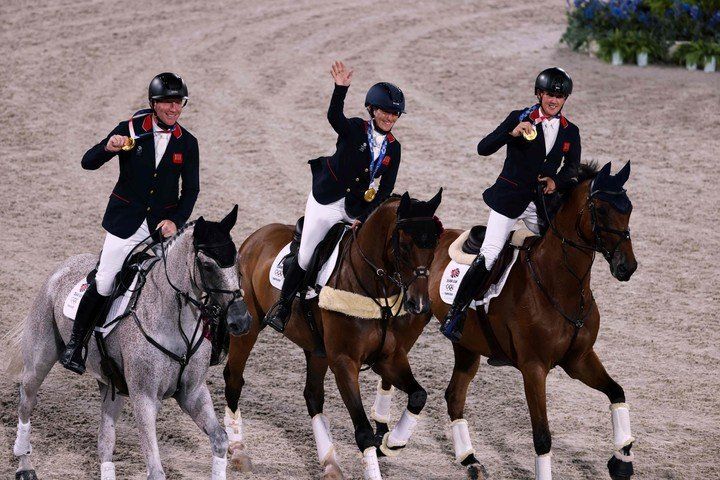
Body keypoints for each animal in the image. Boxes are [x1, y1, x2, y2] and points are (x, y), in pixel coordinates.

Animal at [9, 207, 253, 480]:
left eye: (237, 264)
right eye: (208, 266)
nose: (241, 321)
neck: (175, 323)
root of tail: (62, 267)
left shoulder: (192, 393)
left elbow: (220, 439)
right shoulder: (144, 397)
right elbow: (155, 470)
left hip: (111, 386)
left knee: (104, 442)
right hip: (39, 360)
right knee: (26, 402)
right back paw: (24, 465)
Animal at [222, 191, 444, 480]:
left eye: (435, 243)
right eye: (405, 246)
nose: (419, 305)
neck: (372, 288)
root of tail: (255, 237)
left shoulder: (388, 358)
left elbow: (419, 395)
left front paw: (393, 442)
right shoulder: (343, 362)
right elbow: (363, 432)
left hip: (316, 349)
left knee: (313, 396)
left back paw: (330, 462)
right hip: (247, 330)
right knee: (234, 379)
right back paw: (238, 451)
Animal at [428, 162, 636, 480]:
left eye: (629, 209)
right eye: (600, 210)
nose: (628, 267)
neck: (561, 286)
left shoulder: (579, 360)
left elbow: (616, 392)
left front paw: (622, 460)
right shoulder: (534, 368)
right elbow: (542, 436)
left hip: (466, 346)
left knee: (454, 397)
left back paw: (470, 460)